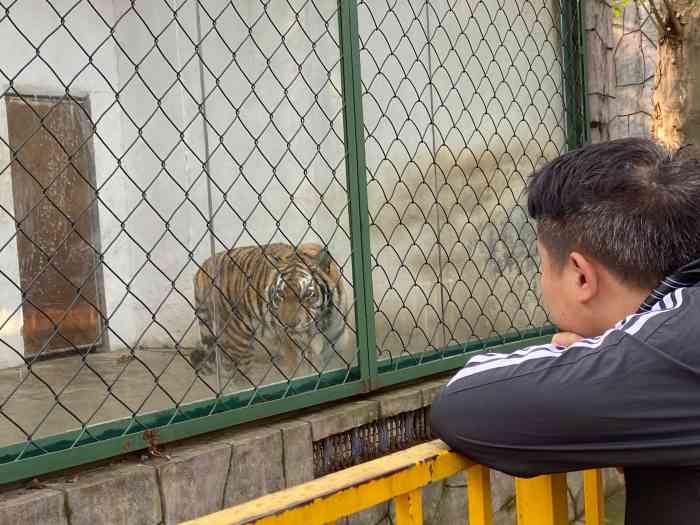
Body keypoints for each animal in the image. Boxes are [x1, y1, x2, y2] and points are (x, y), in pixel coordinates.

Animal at [189, 242, 350, 376]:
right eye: (281, 294)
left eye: (307, 294)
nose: (289, 325)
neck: (322, 325)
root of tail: (203, 268)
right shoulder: (297, 354)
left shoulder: (336, 349)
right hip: (238, 342)